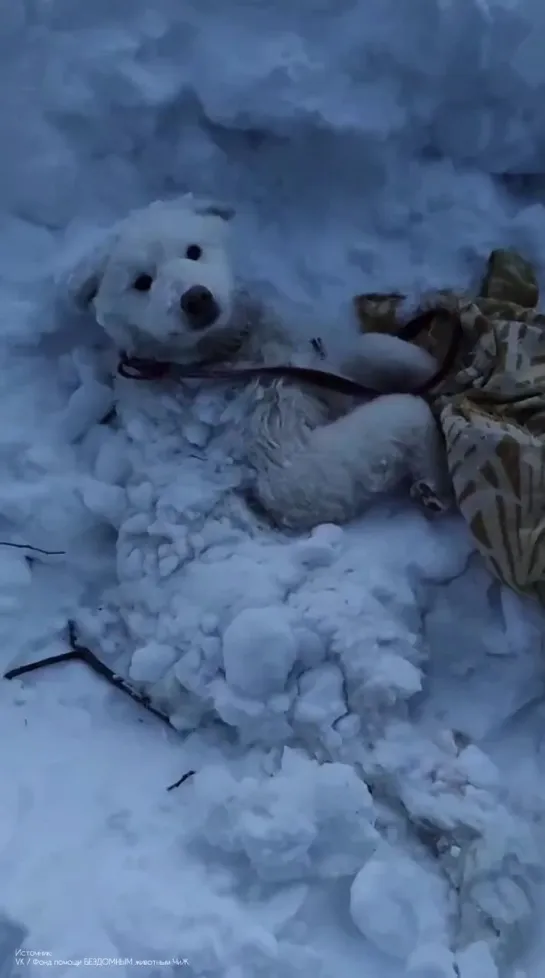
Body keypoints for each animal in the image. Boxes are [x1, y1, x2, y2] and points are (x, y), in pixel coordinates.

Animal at [66, 196, 452, 528]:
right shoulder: (285, 466)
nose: (196, 298)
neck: (212, 359)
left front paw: (420, 363)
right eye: (142, 282)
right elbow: (402, 412)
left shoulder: (305, 370)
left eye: (193, 251)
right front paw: (434, 474)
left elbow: (357, 354)